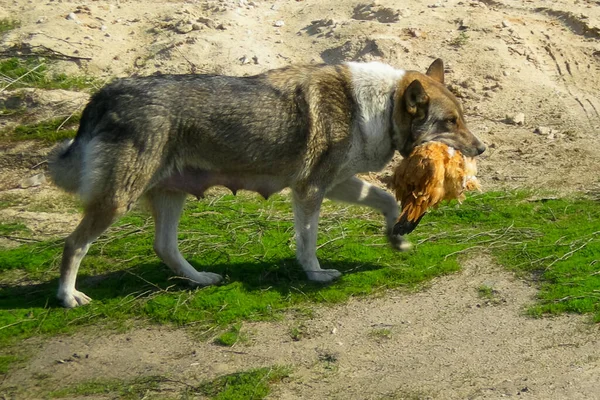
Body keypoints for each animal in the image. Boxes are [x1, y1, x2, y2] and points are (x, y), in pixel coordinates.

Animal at [48, 57, 488, 308]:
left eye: (462, 118)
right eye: (451, 122)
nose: (482, 148)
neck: (376, 107)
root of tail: (105, 94)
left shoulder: (338, 183)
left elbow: (387, 201)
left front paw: (397, 238)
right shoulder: (311, 191)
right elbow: (307, 243)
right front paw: (316, 275)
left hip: (170, 197)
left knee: (165, 248)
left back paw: (201, 280)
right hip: (117, 202)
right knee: (73, 245)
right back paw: (68, 297)